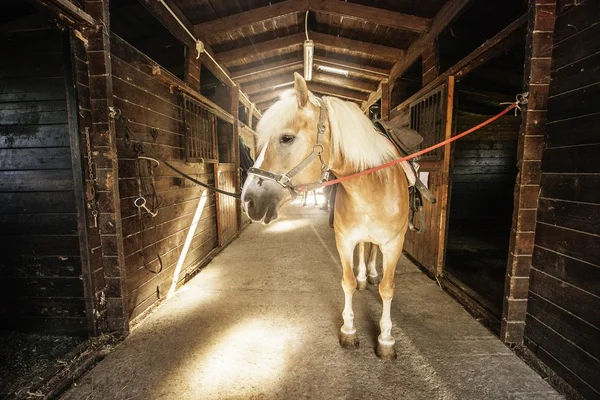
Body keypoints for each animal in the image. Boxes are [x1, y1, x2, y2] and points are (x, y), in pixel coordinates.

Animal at [241, 72, 410, 360]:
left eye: (286, 138)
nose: (248, 199)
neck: (372, 188)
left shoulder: (394, 244)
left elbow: (387, 289)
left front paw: (386, 340)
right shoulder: (344, 240)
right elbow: (348, 282)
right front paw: (349, 330)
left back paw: (372, 274)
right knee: (365, 249)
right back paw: (365, 276)